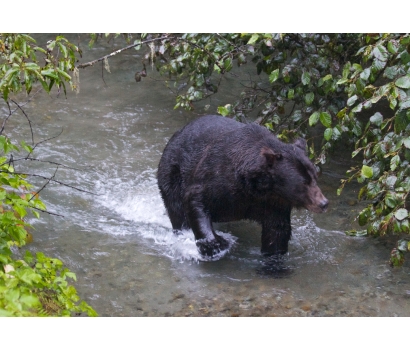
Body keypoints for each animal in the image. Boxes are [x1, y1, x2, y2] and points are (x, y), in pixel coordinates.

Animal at [155, 116, 328, 258]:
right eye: (303, 182)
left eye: (315, 177)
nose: (323, 203)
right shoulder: (217, 179)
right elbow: (195, 200)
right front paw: (217, 244)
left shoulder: (272, 203)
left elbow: (277, 231)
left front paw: (274, 261)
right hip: (172, 171)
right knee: (177, 209)